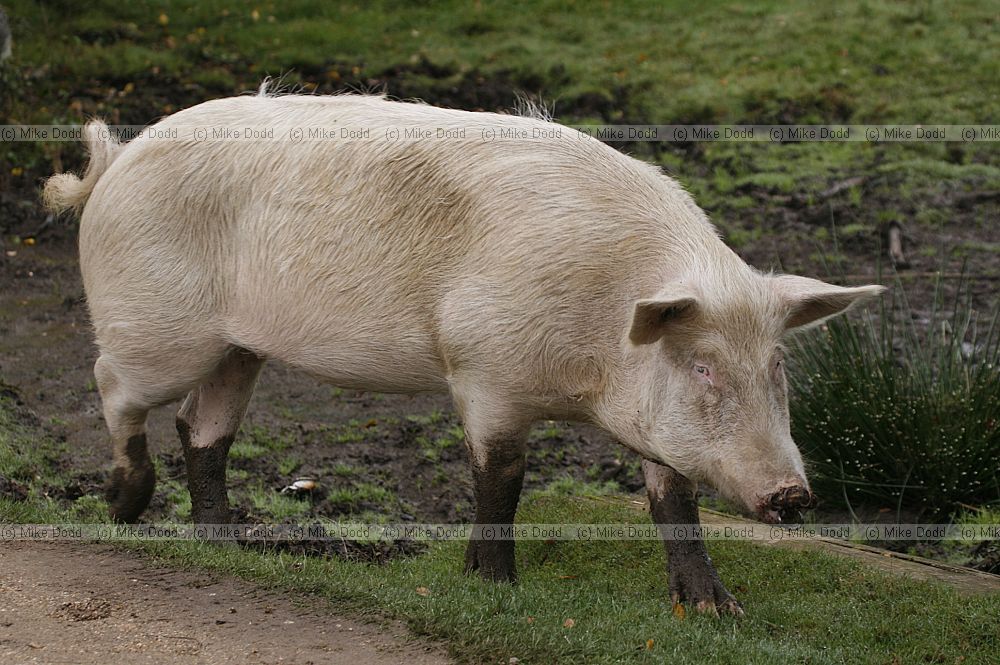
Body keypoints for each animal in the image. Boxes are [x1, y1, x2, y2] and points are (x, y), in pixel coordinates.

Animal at [43, 89, 884, 615]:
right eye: (703, 364)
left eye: (777, 367)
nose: (792, 494)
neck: (588, 371)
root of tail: (115, 163)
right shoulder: (485, 373)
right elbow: (501, 480)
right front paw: (495, 590)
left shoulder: (649, 424)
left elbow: (673, 498)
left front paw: (717, 610)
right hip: (157, 330)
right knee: (112, 385)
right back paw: (124, 504)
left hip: (238, 349)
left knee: (202, 428)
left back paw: (229, 547)